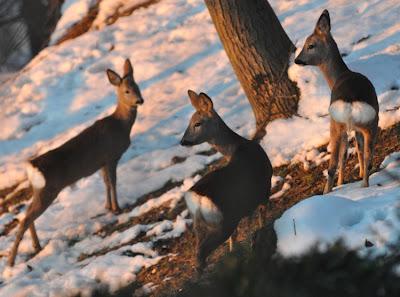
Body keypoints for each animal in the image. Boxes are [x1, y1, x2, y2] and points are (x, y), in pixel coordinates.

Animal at [7, 57, 144, 266]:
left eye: (137, 86)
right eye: (127, 91)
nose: (140, 100)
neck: (120, 125)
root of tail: (31, 167)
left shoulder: (102, 162)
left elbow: (106, 183)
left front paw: (108, 207)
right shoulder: (111, 156)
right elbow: (113, 182)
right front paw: (117, 208)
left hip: (39, 189)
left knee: (26, 216)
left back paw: (36, 246)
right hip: (49, 189)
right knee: (25, 219)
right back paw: (11, 262)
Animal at [180, 89, 272, 270]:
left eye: (197, 123)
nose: (183, 141)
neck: (239, 145)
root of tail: (197, 198)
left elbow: (238, 235)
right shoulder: (265, 190)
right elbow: (261, 221)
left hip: (200, 224)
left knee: (198, 251)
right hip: (224, 220)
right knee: (201, 254)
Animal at [296, 9, 380, 193]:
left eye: (310, 45)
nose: (297, 60)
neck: (338, 76)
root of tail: (351, 101)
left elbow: (344, 155)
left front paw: (341, 183)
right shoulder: (356, 128)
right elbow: (359, 148)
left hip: (335, 124)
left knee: (334, 163)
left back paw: (328, 191)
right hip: (371, 122)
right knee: (368, 155)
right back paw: (364, 185)